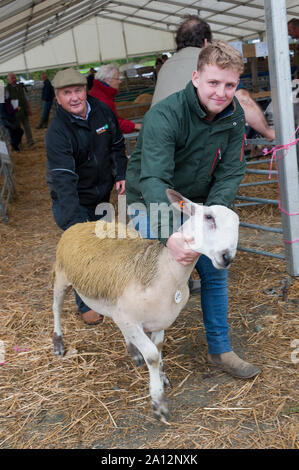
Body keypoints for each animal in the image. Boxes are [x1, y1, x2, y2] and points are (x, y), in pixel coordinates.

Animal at [51, 190, 239, 422]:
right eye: (209, 217)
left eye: (238, 224)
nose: (226, 257)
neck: (165, 271)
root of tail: (83, 223)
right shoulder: (130, 318)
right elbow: (152, 355)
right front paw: (158, 401)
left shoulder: (158, 319)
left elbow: (157, 349)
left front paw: (161, 377)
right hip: (61, 277)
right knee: (56, 307)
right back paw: (58, 342)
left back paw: (132, 350)